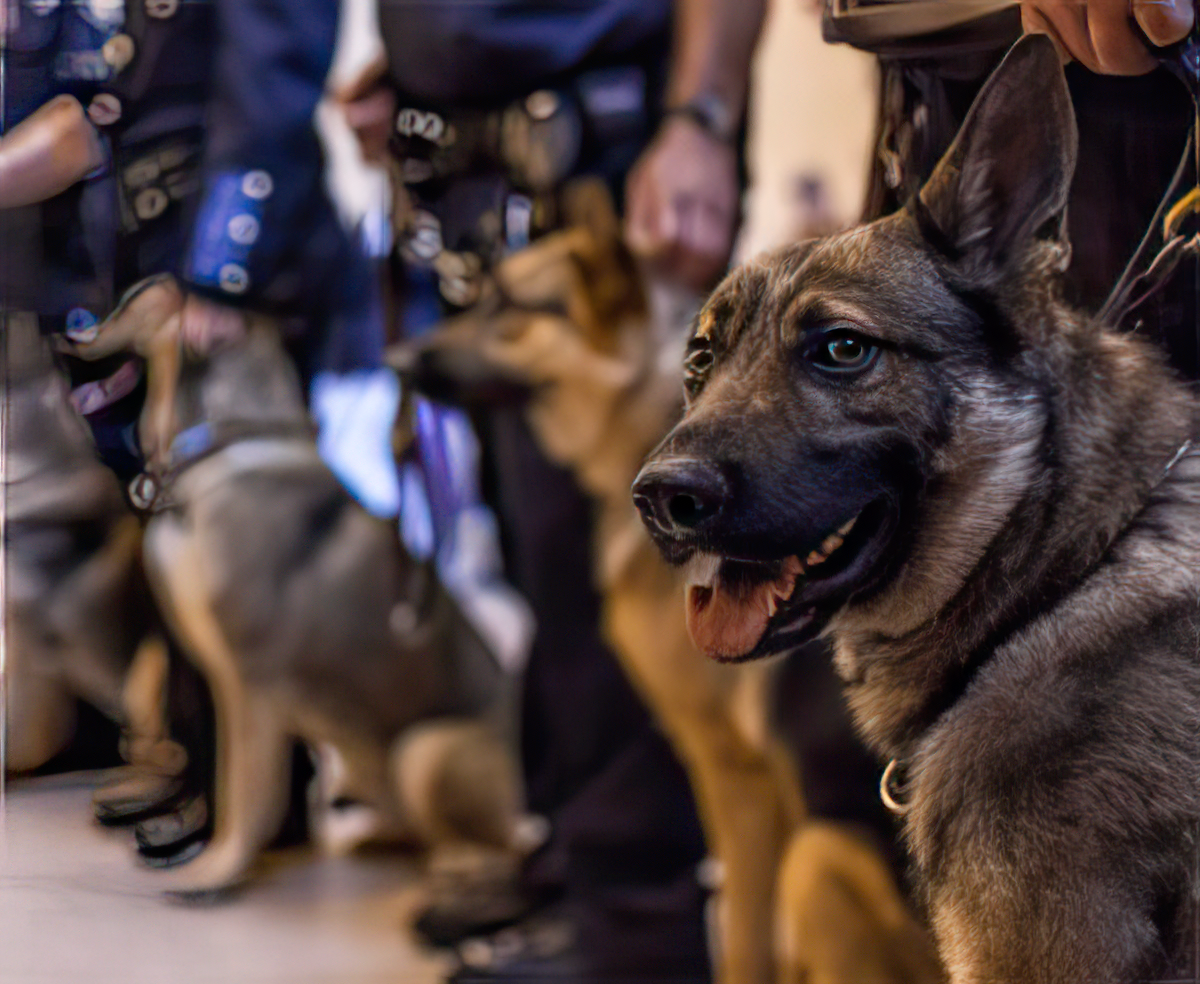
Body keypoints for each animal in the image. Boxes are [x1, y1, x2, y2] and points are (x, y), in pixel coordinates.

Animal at [59, 284, 535, 897]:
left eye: (131, 299)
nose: (64, 329)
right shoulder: (213, 669)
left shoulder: (250, 680)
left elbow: (244, 787)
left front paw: (215, 870)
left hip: (426, 751)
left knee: (497, 846)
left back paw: (461, 869)